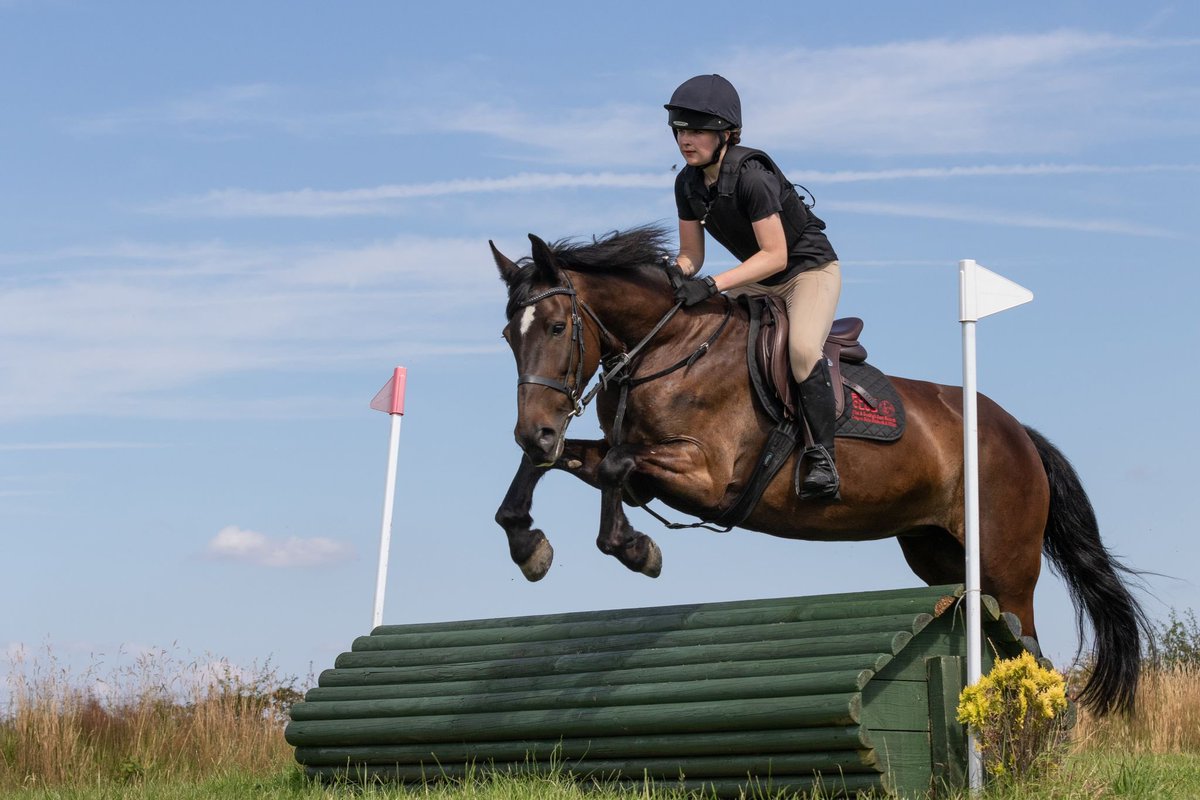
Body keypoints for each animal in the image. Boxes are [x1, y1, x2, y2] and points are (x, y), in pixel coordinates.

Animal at [490, 224, 1148, 716]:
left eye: (556, 327)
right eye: (507, 336)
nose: (532, 426)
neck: (669, 347)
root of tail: (1019, 435)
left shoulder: (709, 476)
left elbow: (615, 468)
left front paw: (634, 547)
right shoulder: (625, 454)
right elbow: (559, 465)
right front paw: (529, 544)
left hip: (1006, 568)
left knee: (1030, 654)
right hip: (940, 556)